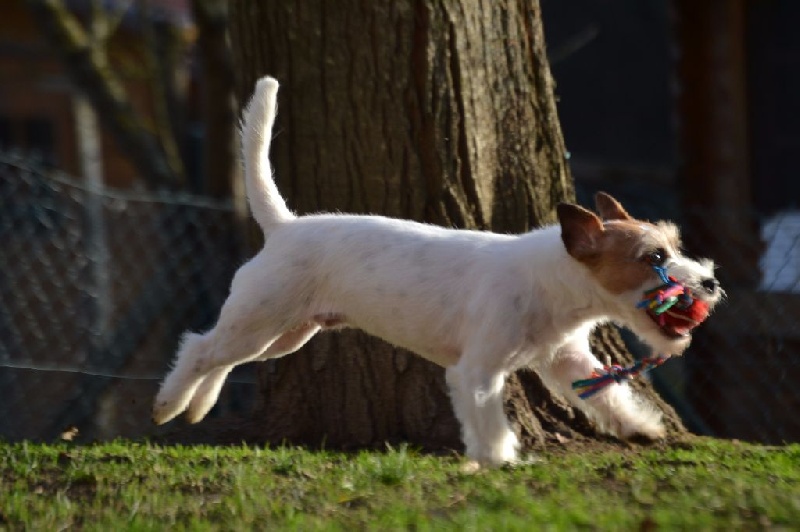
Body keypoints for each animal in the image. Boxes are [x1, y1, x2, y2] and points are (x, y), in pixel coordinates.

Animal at [152, 77, 724, 468]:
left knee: (216, 356)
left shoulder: (569, 359)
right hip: (261, 321)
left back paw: (197, 407)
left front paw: (639, 428)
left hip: (285, 334)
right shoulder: (479, 370)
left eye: (676, 245)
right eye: (654, 257)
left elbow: (608, 394)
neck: (553, 282)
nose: (710, 283)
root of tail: (284, 226)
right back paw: (169, 404)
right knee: (198, 348)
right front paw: (498, 459)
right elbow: (489, 419)